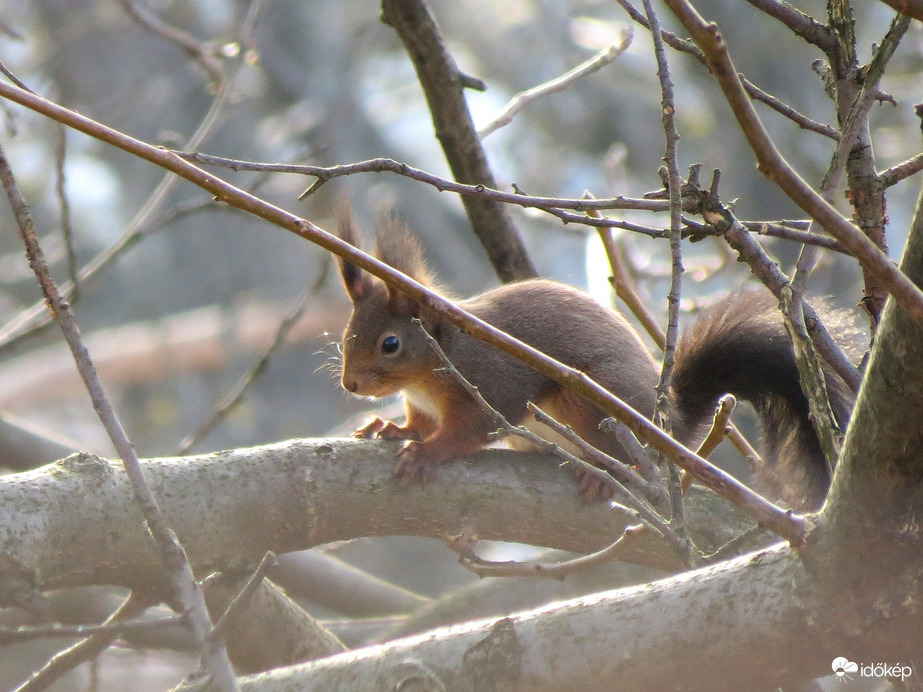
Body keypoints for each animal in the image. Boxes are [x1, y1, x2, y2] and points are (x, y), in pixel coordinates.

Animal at [336, 203, 856, 510]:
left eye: (390, 344)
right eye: (345, 337)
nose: (350, 386)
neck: (427, 373)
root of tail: (667, 424)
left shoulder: (491, 381)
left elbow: (475, 429)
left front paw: (427, 453)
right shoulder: (422, 403)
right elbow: (418, 422)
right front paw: (393, 428)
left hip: (589, 404)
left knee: (629, 456)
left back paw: (609, 476)